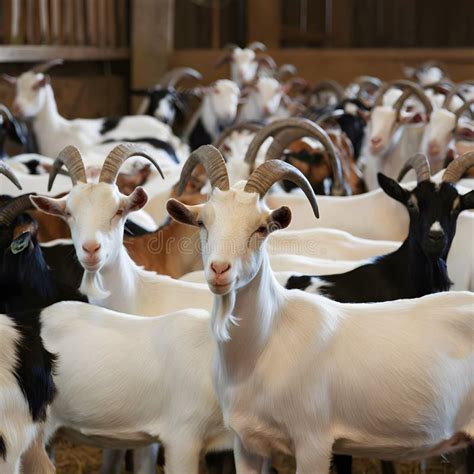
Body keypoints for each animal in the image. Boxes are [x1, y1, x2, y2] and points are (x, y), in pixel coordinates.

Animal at [166, 144, 474, 474]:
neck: (265, 345)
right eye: (202, 222)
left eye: (262, 228)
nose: (219, 269)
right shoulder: (246, 443)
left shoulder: (313, 442)